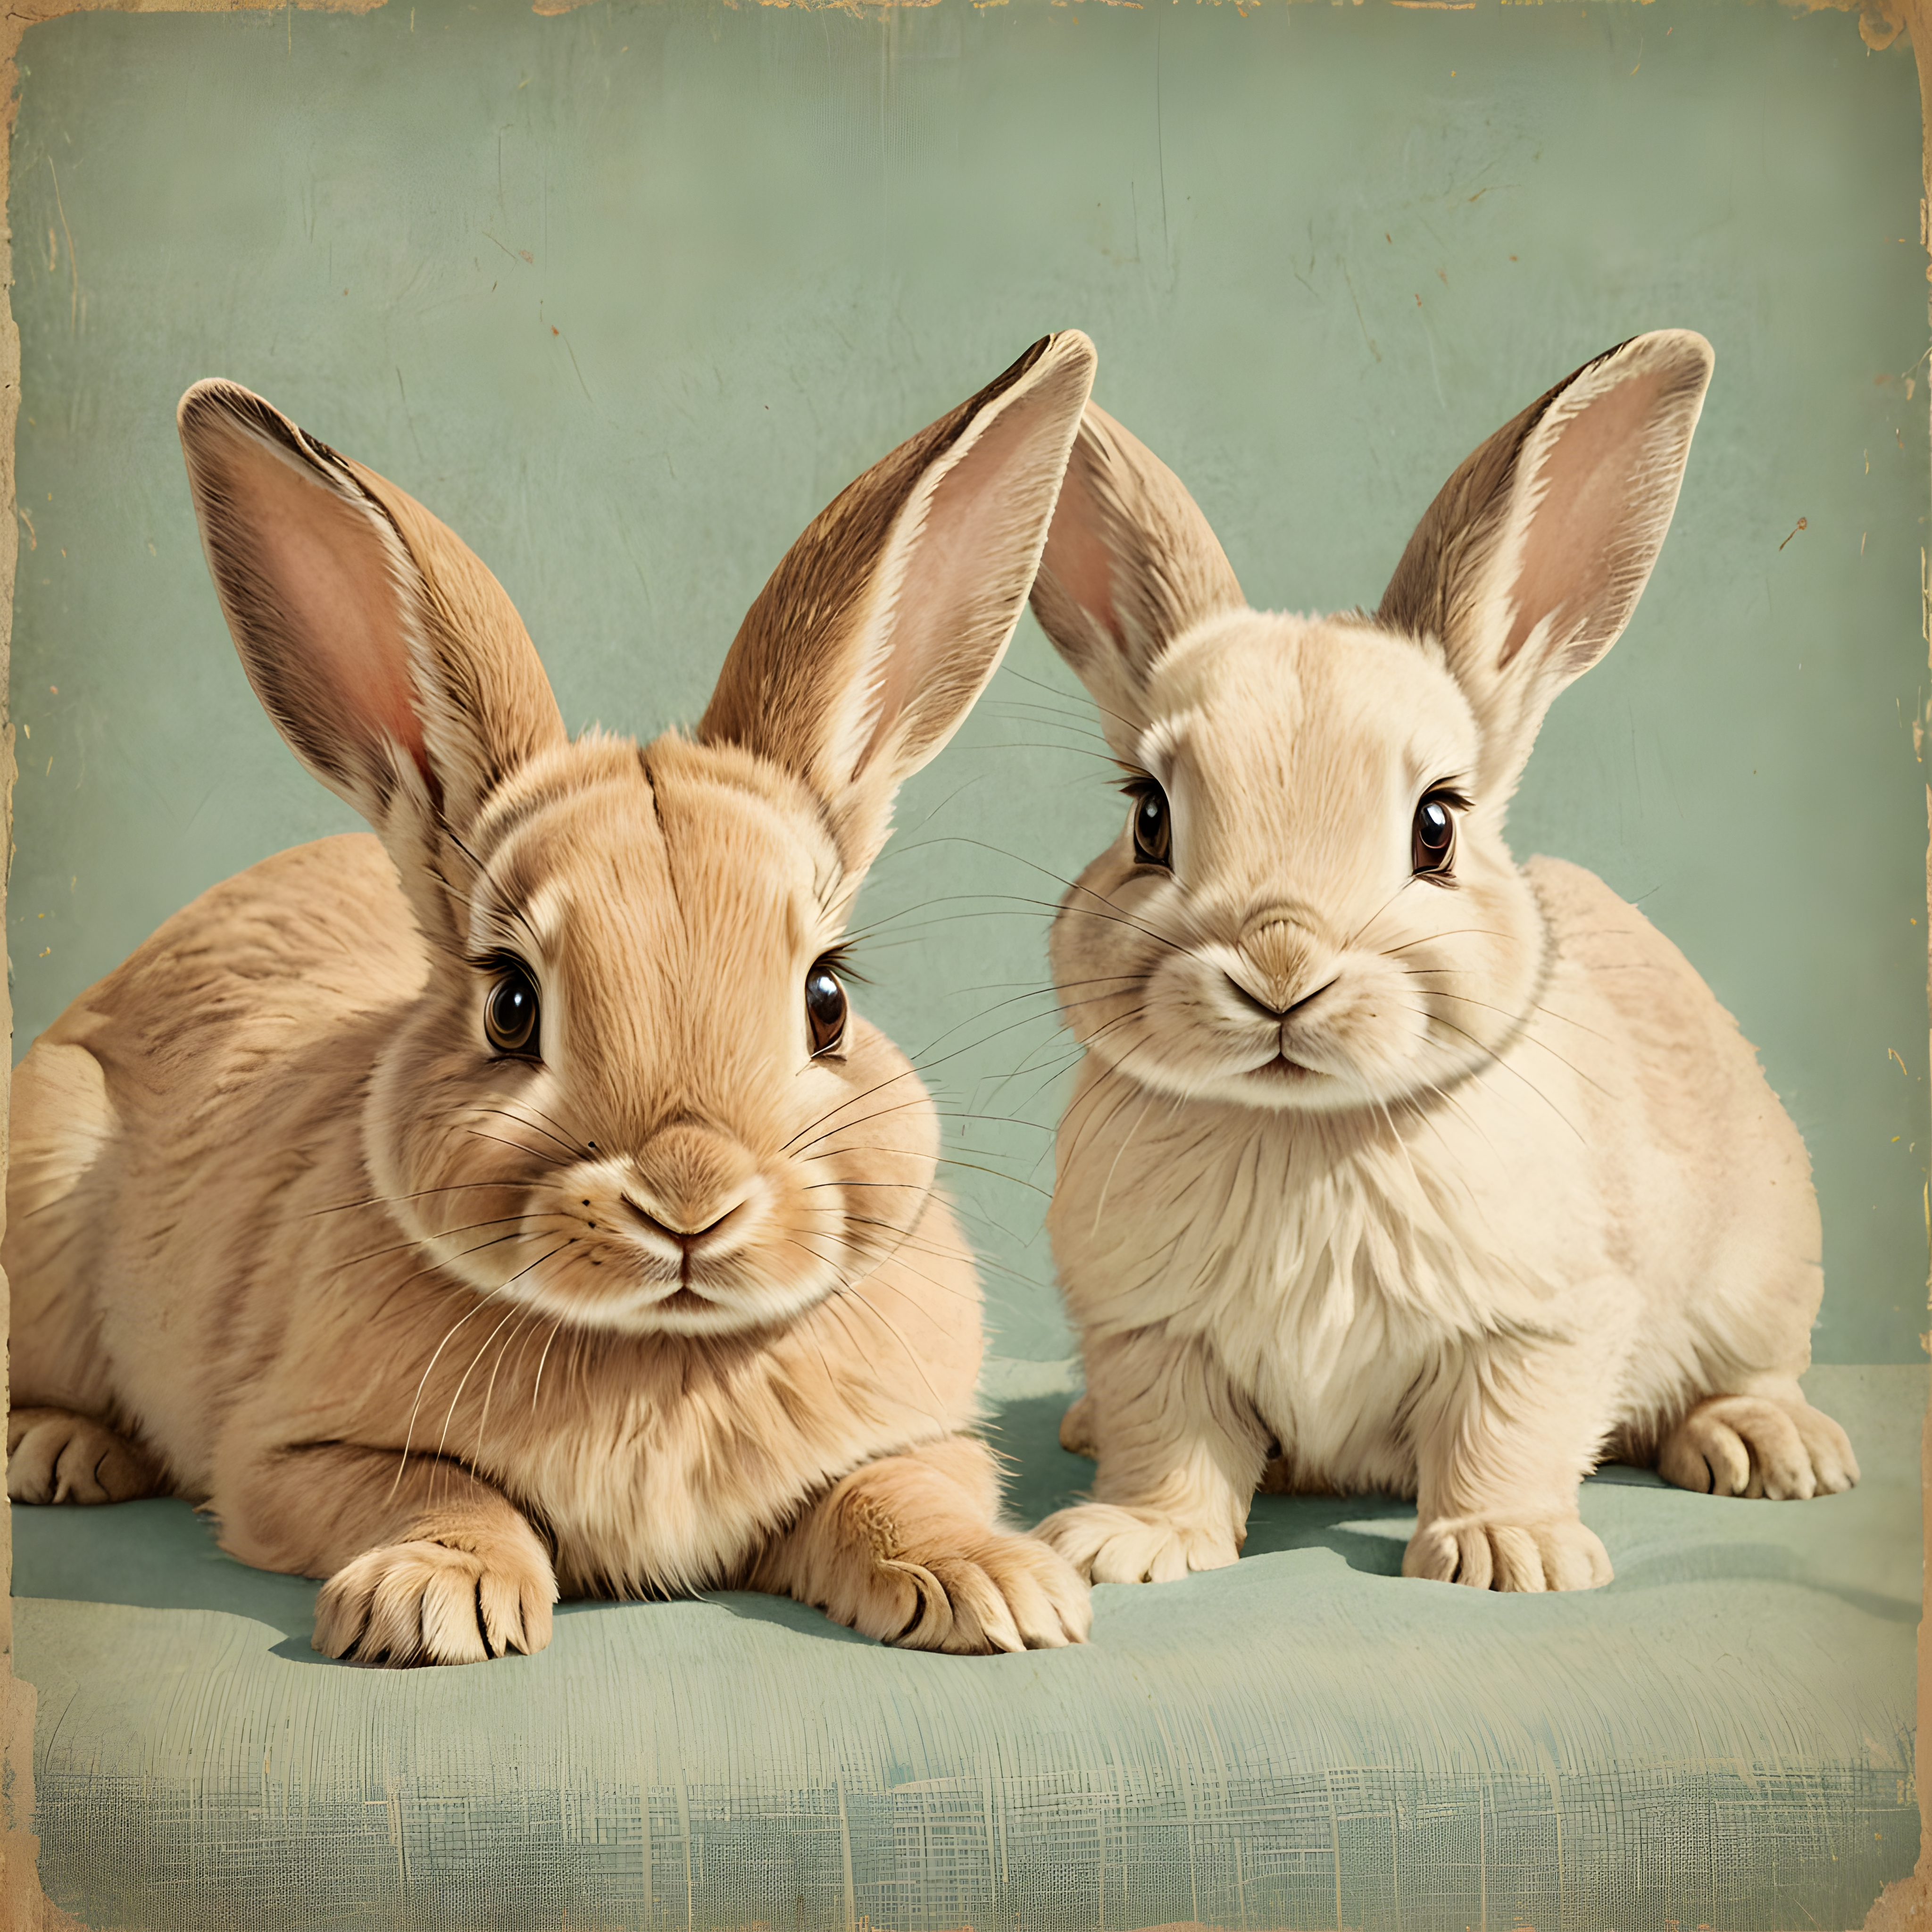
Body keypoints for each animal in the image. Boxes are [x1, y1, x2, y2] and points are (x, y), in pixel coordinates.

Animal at [4, 331, 1101, 1663]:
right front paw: (430, 1603)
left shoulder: (921, 1439)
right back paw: (56, 1451)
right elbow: (440, 1490)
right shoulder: (293, 1456)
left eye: (827, 998)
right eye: (511, 1006)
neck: (661, 1353)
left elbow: (891, 1491)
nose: (689, 1201)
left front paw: (996, 1587)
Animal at [1023, 330, 1858, 1595]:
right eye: (1148, 817)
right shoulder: (1145, 1333)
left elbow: (1503, 1430)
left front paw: (1507, 1551)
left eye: (1436, 827)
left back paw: (1771, 1448)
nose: (1280, 966)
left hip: (1760, 1270)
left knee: (1746, 1367)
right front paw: (1126, 1541)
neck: (1307, 1134)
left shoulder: (1541, 1323)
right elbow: (1172, 1442)